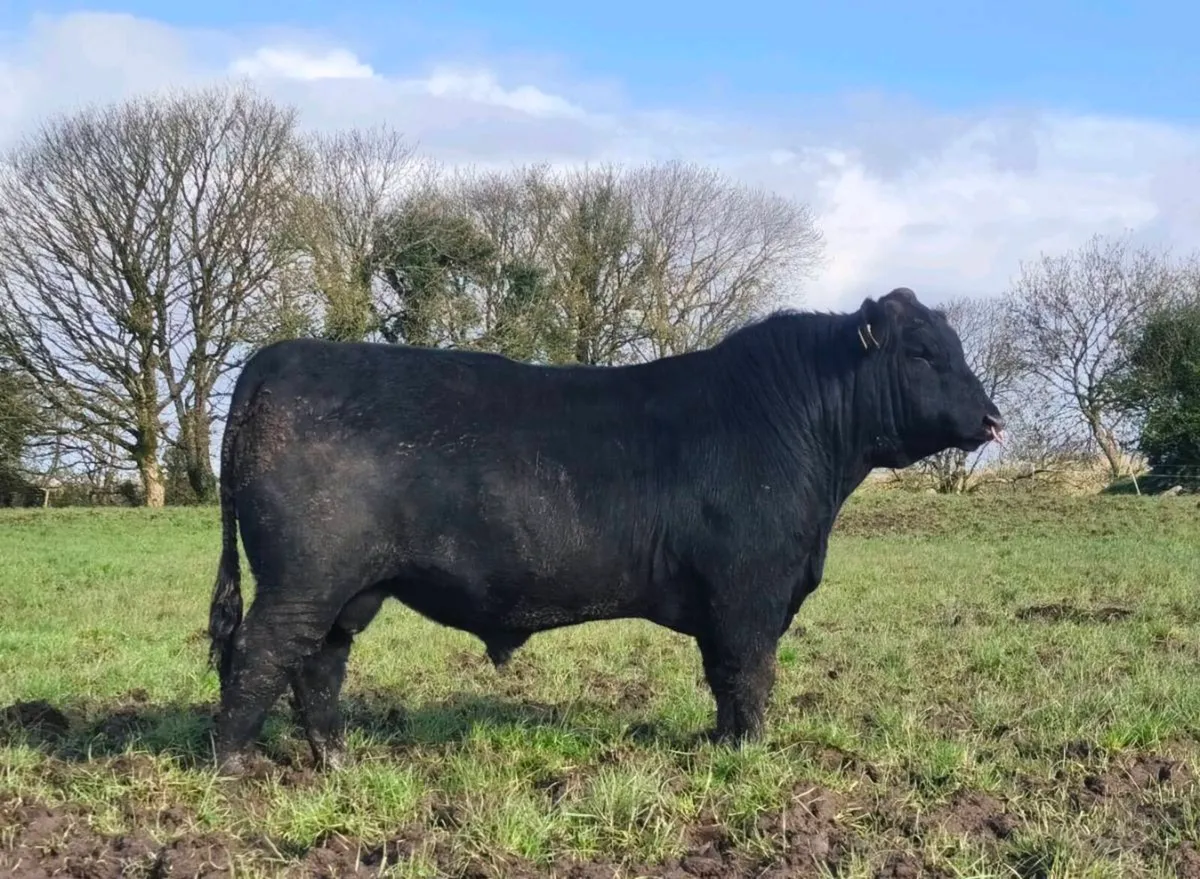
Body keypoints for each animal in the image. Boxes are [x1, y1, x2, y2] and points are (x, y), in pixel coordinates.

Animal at [206, 286, 1003, 775]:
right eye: (922, 353)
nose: (994, 417)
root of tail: (277, 356)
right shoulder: (749, 591)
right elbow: (749, 675)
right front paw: (748, 754)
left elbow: (723, 679)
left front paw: (719, 745)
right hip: (305, 577)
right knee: (258, 653)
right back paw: (232, 765)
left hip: (349, 589)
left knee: (316, 664)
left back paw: (337, 762)